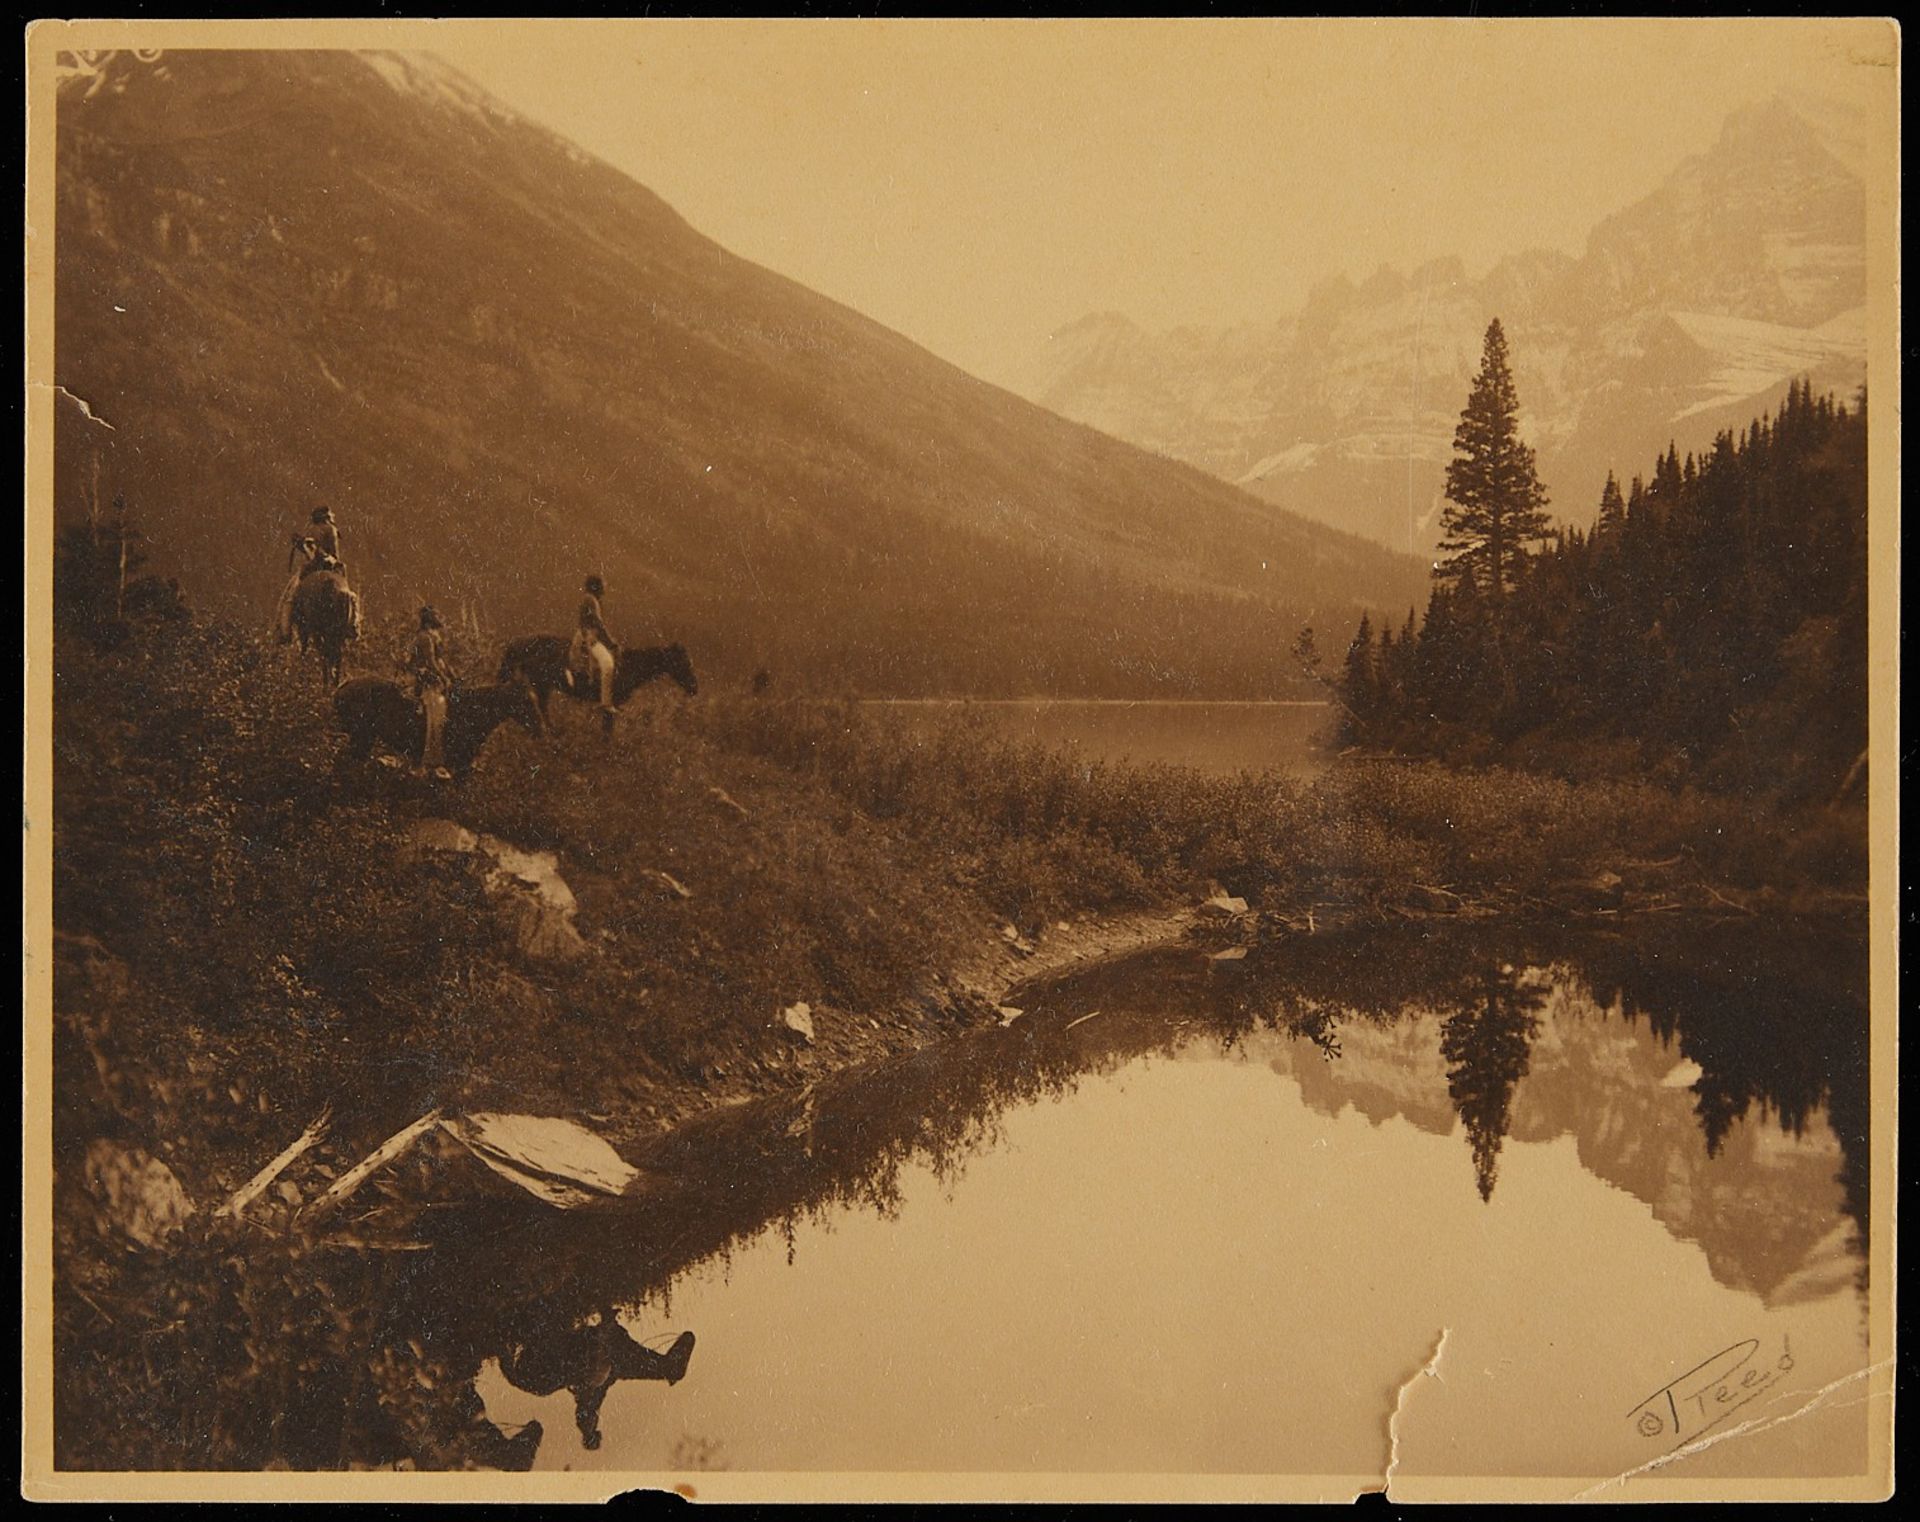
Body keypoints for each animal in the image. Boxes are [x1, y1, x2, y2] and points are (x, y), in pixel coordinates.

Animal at [330, 675, 541, 771]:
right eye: (526, 701)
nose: (540, 729)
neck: (470, 711)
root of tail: (341, 688)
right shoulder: (459, 765)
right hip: (362, 737)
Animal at [495, 637, 698, 733]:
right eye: (682, 663)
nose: (694, 688)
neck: (628, 665)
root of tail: (520, 643)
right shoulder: (611, 704)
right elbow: (607, 731)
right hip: (542, 685)